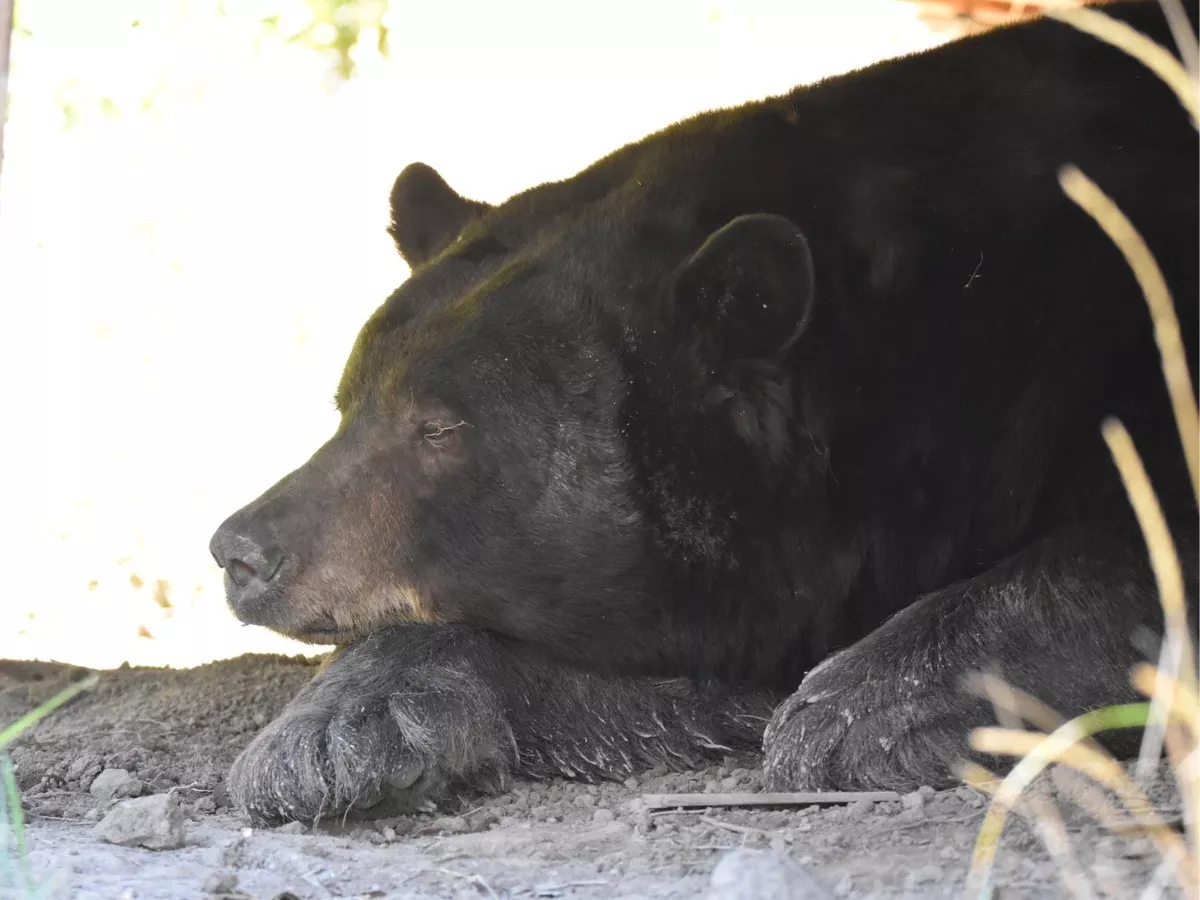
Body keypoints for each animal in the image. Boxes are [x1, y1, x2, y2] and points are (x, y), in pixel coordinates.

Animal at [209, 1, 1198, 825]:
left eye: (441, 427)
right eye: (347, 404)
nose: (239, 549)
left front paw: (861, 706)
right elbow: (682, 676)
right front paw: (333, 726)